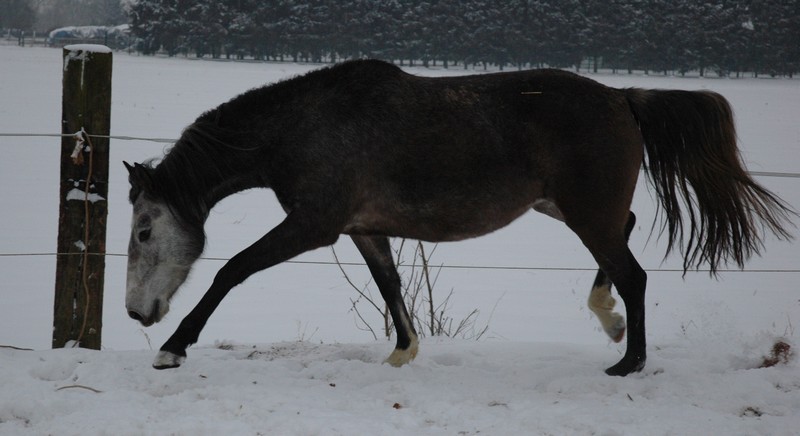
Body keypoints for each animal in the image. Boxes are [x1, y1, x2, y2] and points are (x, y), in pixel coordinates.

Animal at [122, 59, 792, 376]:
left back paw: (627, 361)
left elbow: (231, 270)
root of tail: (623, 98)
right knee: (623, 240)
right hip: (569, 208)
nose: (135, 314)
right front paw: (402, 353)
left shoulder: (313, 226)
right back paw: (610, 323)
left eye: (145, 230)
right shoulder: (363, 228)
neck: (306, 126)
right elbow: (390, 284)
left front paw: (173, 349)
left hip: (585, 211)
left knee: (633, 273)